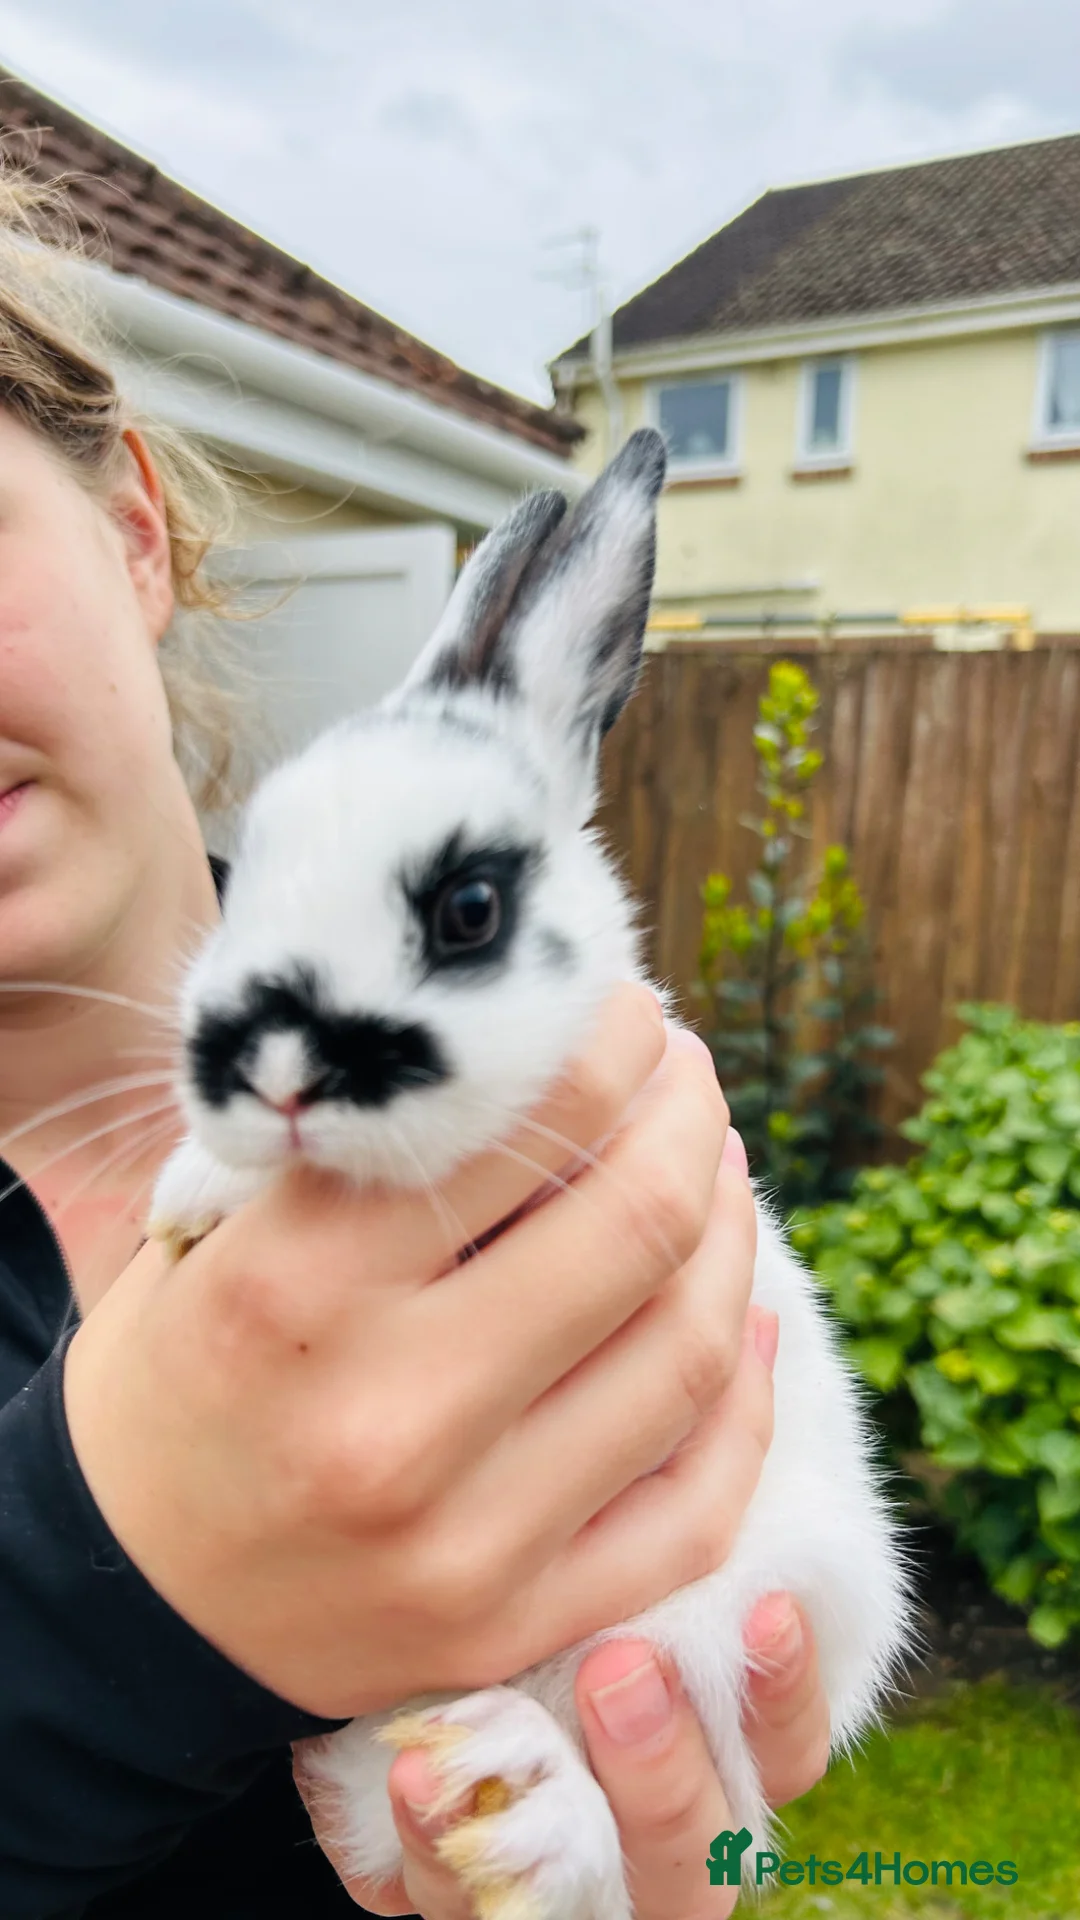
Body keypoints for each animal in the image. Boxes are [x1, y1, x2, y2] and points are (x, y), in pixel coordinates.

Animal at [150, 426, 912, 1920]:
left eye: (470, 909)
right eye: (244, 869)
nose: (267, 1068)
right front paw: (193, 1201)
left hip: (765, 1602)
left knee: (644, 1740)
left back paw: (520, 1799)